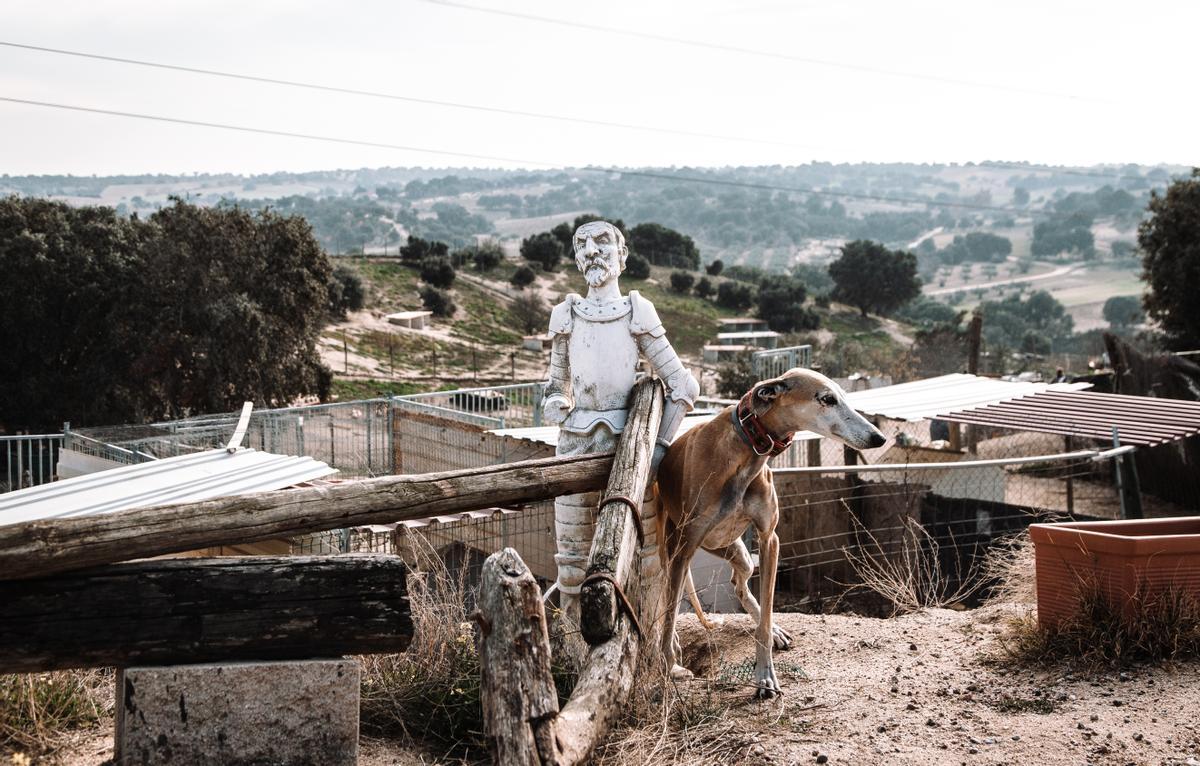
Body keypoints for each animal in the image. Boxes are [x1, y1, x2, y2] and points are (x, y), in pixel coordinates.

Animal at [657, 369, 883, 701]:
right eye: (828, 398)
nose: (878, 437)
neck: (745, 450)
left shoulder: (768, 539)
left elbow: (764, 618)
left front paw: (765, 676)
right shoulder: (685, 546)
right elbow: (670, 616)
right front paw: (666, 671)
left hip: (736, 551)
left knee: (739, 584)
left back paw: (772, 627)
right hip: (672, 548)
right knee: (664, 597)